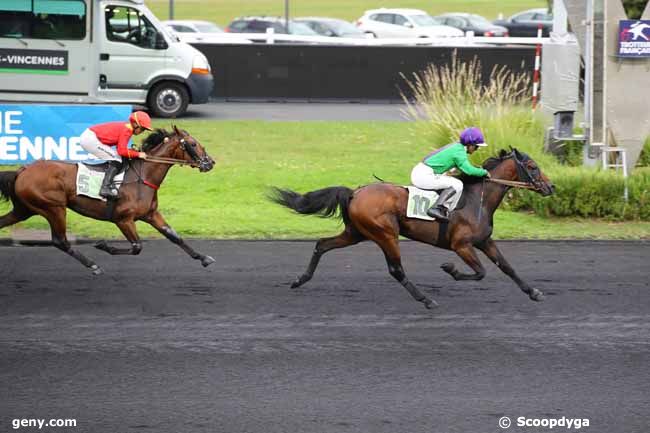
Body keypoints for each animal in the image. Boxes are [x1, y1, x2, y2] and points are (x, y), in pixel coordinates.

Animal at [1, 125, 216, 274]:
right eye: (193, 143)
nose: (210, 162)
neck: (143, 175)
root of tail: (23, 171)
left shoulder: (151, 214)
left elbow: (174, 236)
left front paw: (203, 258)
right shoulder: (123, 219)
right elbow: (137, 247)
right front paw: (103, 245)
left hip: (25, 209)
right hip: (53, 208)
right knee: (60, 241)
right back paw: (93, 265)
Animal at [268, 148, 552, 308]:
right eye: (532, 166)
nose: (551, 187)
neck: (476, 200)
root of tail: (354, 193)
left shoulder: (484, 241)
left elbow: (507, 267)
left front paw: (534, 292)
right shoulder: (461, 245)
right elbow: (481, 272)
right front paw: (450, 269)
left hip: (356, 233)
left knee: (322, 244)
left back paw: (300, 279)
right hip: (384, 234)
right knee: (396, 270)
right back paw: (426, 300)